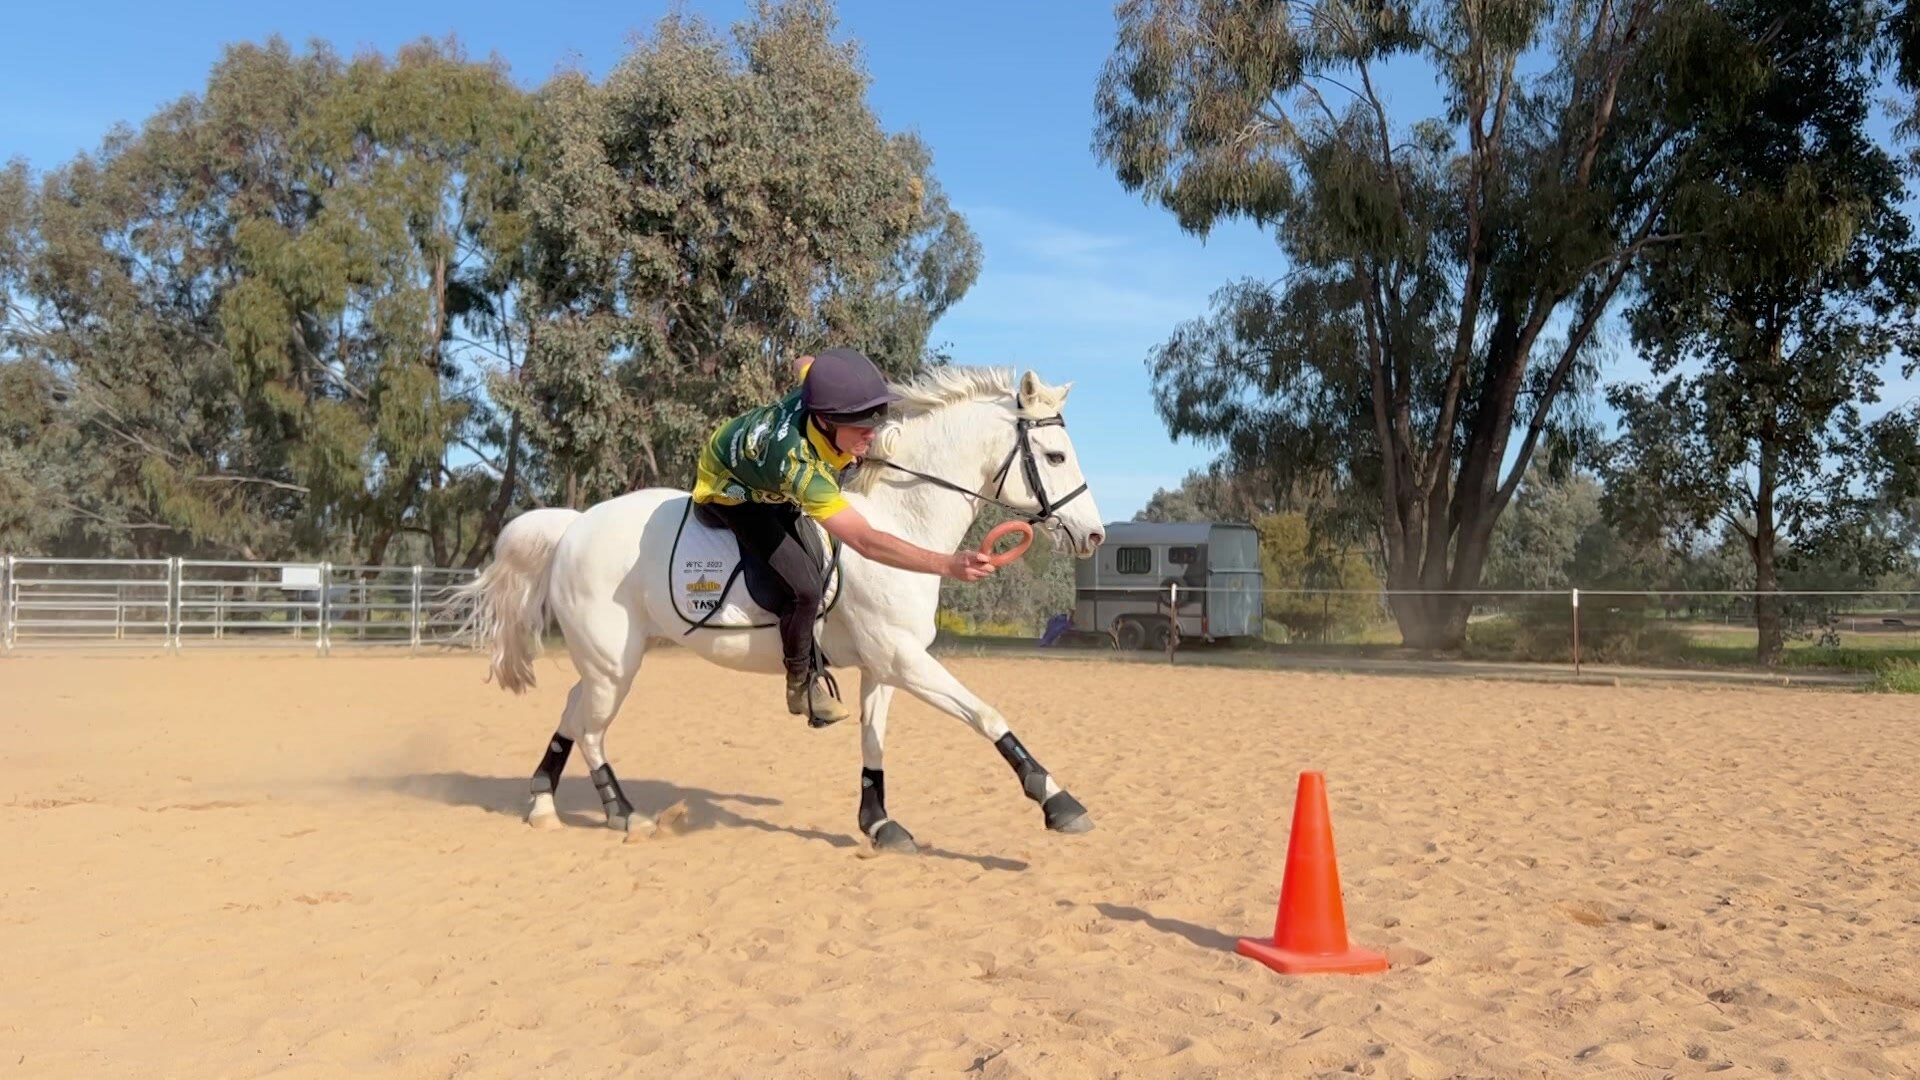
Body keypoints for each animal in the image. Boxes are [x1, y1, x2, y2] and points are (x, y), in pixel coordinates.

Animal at [453, 365, 1109, 853]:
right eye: (1055, 456)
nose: (1094, 536)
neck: (901, 522)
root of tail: (573, 526)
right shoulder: (904, 660)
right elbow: (987, 715)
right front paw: (1057, 800)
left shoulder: (885, 666)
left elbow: (873, 742)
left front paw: (879, 822)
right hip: (615, 663)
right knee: (592, 730)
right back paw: (625, 813)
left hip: (606, 661)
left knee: (573, 713)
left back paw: (544, 804)